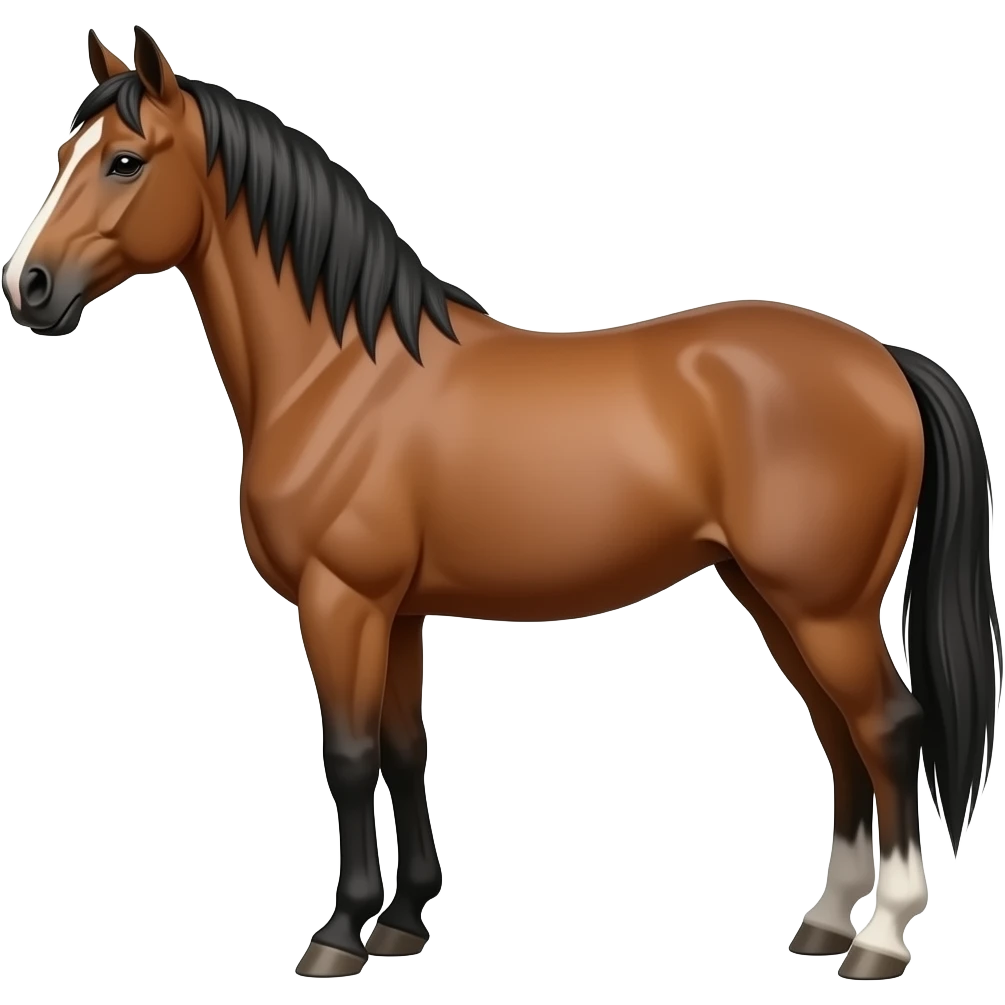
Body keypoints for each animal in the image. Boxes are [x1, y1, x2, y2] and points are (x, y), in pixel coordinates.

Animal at [4, 26, 1000, 983]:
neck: (341, 374)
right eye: (64, 152)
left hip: (824, 606)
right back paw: (825, 922)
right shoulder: (397, 612)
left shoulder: (340, 602)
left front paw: (338, 934)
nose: (29, 287)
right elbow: (405, 750)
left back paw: (882, 940)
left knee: (887, 729)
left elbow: (348, 757)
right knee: (840, 736)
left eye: (124, 160)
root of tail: (883, 359)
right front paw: (403, 920)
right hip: (776, 598)